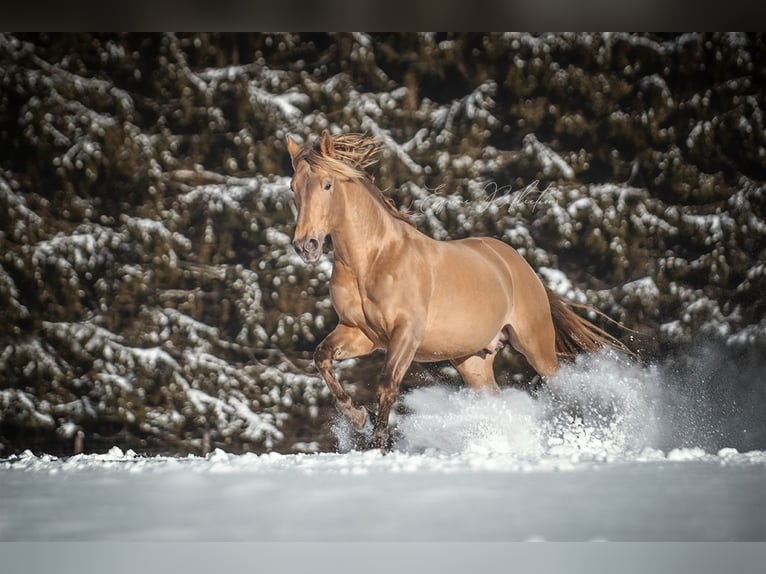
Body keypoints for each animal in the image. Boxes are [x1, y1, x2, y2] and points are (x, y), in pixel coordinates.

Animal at [286, 133, 632, 452]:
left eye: (327, 184)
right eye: (293, 187)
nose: (306, 246)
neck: (373, 260)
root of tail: (519, 265)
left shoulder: (406, 334)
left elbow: (387, 384)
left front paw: (378, 443)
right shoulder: (360, 333)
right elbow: (322, 358)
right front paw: (358, 417)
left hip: (535, 345)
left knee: (558, 385)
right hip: (473, 361)